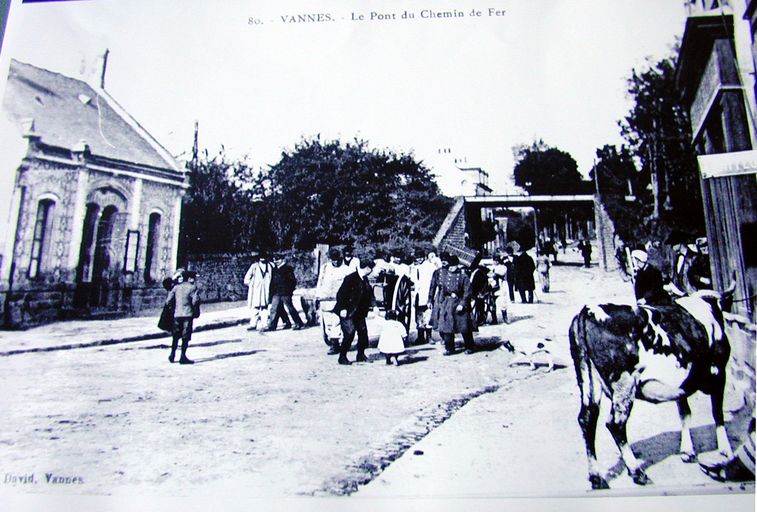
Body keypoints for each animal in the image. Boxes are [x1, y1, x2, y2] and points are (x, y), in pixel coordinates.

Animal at [568, 290, 732, 490]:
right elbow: (718, 413)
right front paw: (725, 452)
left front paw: (687, 451)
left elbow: (685, 413)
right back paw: (637, 472)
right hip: (625, 383)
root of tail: (587, 311)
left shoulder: (681, 384)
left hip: (588, 381)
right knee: (615, 424)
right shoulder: (719, 372)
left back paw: (597, 478)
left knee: (587, 420)